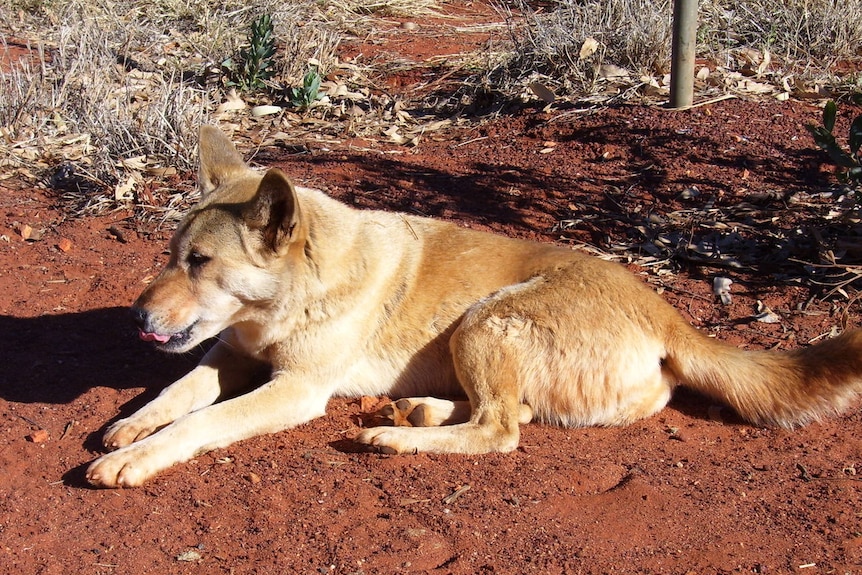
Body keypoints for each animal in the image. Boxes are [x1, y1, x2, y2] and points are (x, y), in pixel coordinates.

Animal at [82, 125, 862, 486]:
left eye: (200, 263)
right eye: (171, 253)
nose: (136, 318)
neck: (287, 303)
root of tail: (668, 313)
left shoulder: (294, 389)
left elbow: (203, 421)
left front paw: (142, 457)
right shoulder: (227, 352)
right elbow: (179, 389)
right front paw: (132, 424)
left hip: (485, 319)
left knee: (501, 430)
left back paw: (398, 436)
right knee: (514, 412)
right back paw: (418, 411)